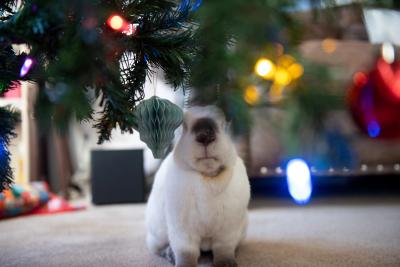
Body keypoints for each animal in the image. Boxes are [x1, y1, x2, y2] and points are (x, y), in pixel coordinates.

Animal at [144, 106, 250, 267]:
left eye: (222, 125)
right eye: (185, 126)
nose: (205, 136)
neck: (208, 178)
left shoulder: (227, 231)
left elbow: (223, 250)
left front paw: (227, 264)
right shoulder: (183, 232)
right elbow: (186, 253)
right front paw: (183, 265)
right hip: (158, 233)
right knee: (158, 248)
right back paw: (170, 256)